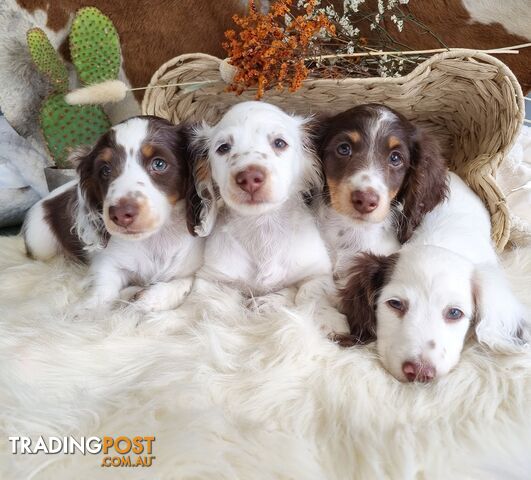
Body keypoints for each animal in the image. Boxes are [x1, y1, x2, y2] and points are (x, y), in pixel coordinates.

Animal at [22, 116, 204, 312]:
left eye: (159, 163)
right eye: (105, 170)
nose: (120, 214)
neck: (155, 239)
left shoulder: (196, 267)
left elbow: (188, 281)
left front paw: (150, 297)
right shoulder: (107, 262)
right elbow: (103, 293)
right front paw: (83, 310)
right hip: (40, 243)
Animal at [189, 101, 352, 334]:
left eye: (279, 143)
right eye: (223, 148)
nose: (249, 177)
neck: (262, 226)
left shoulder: (318, 272)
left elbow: (310, 293)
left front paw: (327, 319)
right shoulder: (211, 278)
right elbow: (212, 303)